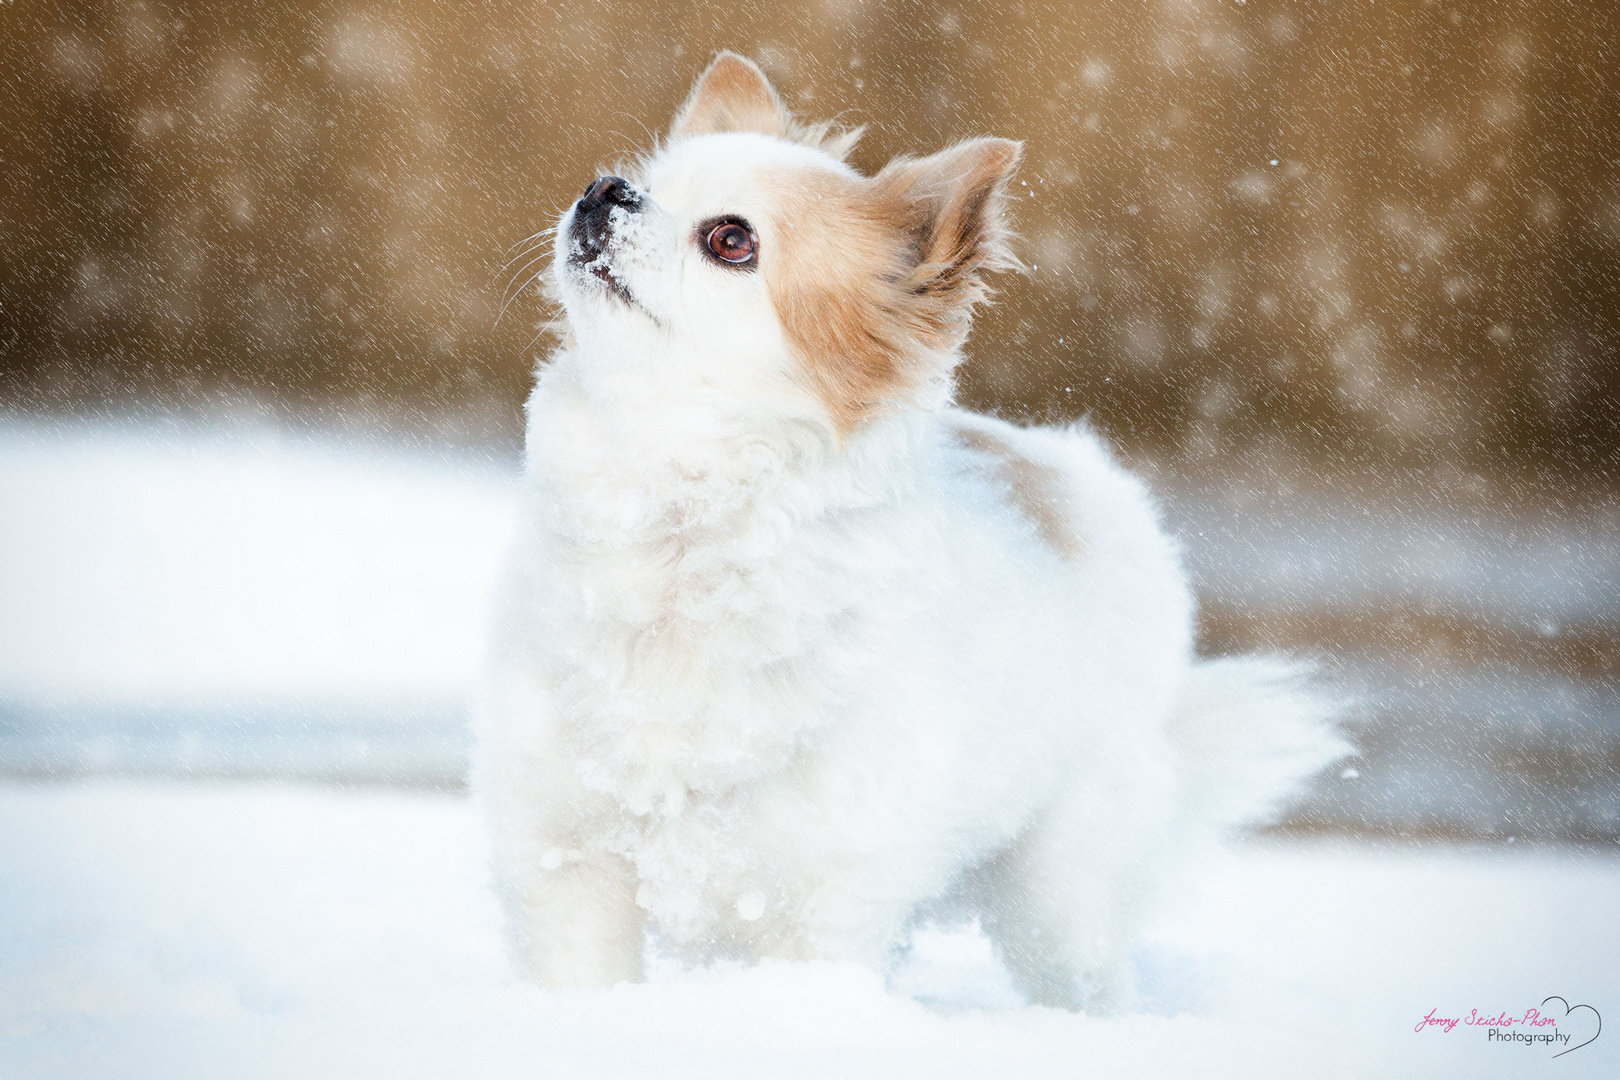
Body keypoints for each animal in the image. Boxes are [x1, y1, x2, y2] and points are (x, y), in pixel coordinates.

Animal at [473, 52, 1347, 1016]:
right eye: (641, 180)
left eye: (731, 240)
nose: (605, 190)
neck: (679, 521)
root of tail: (1092, 484)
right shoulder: (566, 862)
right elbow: (578, 979)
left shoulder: (824, 905)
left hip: (1057, 902)